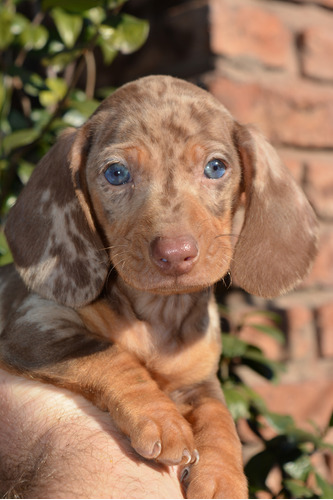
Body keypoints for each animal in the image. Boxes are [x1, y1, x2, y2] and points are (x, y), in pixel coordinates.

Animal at [0, 75, 316, 500]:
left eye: (216, 167)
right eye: (116, 173)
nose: (175, 254)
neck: (158, 314)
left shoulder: (199, 380)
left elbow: (219, 416)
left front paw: (221, 476)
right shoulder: (34, 325)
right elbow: (110, 355)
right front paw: (159, 417)